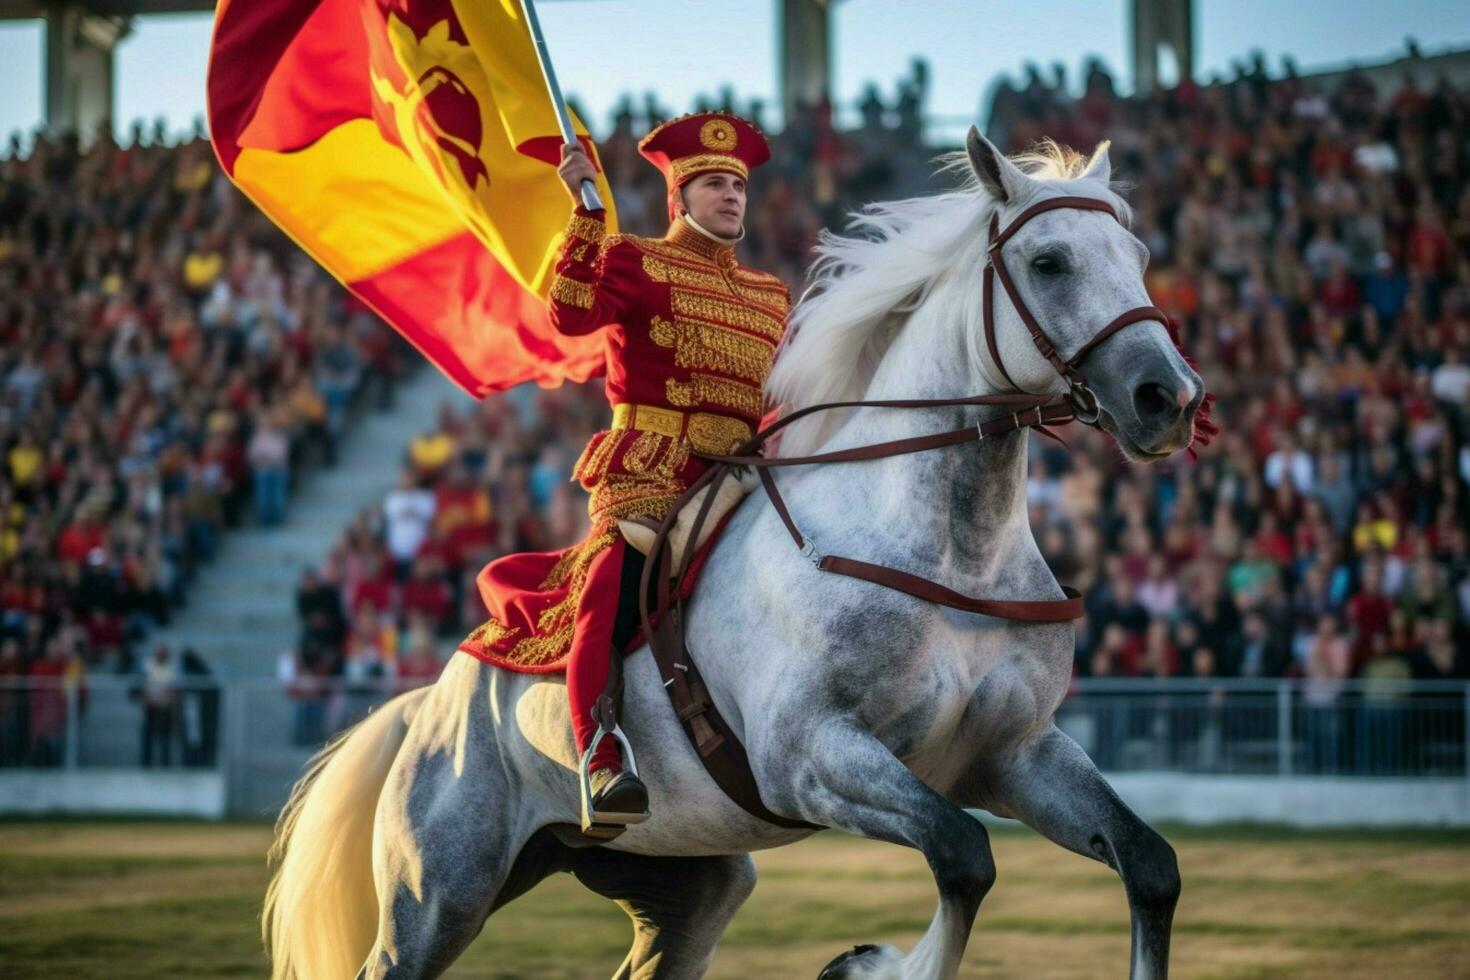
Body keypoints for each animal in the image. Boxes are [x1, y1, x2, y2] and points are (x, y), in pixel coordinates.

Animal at [267, 132, 1205, 980]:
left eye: (1138, 255)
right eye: (1049, 262)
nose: (1170, 397)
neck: (947, 555)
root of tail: (429, 703)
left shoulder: (1014, 754)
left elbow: (1149, 866)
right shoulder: (810, 757)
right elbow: (964, 855)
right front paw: (871, 965)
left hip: (685, 882)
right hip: (438, 897)